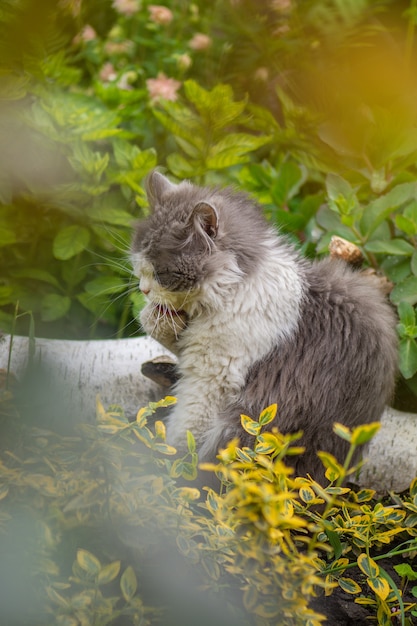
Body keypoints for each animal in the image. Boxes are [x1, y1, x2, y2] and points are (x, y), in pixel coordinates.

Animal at [131, 168, 396, 480]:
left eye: (160, 274)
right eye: (138, 267)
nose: (143, 289)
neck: (235, 286)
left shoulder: (214, 376)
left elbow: (186, 427)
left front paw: (171, 462)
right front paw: (154, 317)